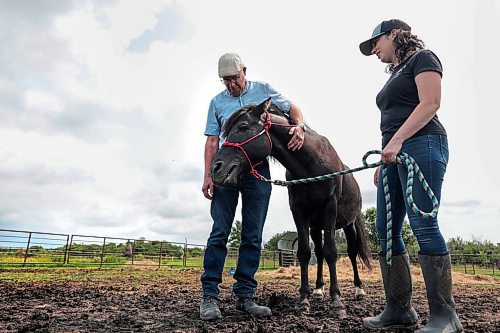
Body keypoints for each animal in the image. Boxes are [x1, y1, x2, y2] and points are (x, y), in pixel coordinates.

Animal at [211, 97, 372, 316]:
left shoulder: (330, 208)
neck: (311, 165)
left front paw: (337, 302)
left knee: (352, 253)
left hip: (349, 225)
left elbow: (331, 251)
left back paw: (358, 289)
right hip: (316, 226)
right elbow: (304, 252)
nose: (216, 169)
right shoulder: (299, 212)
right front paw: (304, 299)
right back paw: (318, 290)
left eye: (243, 127)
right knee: (318, 253)